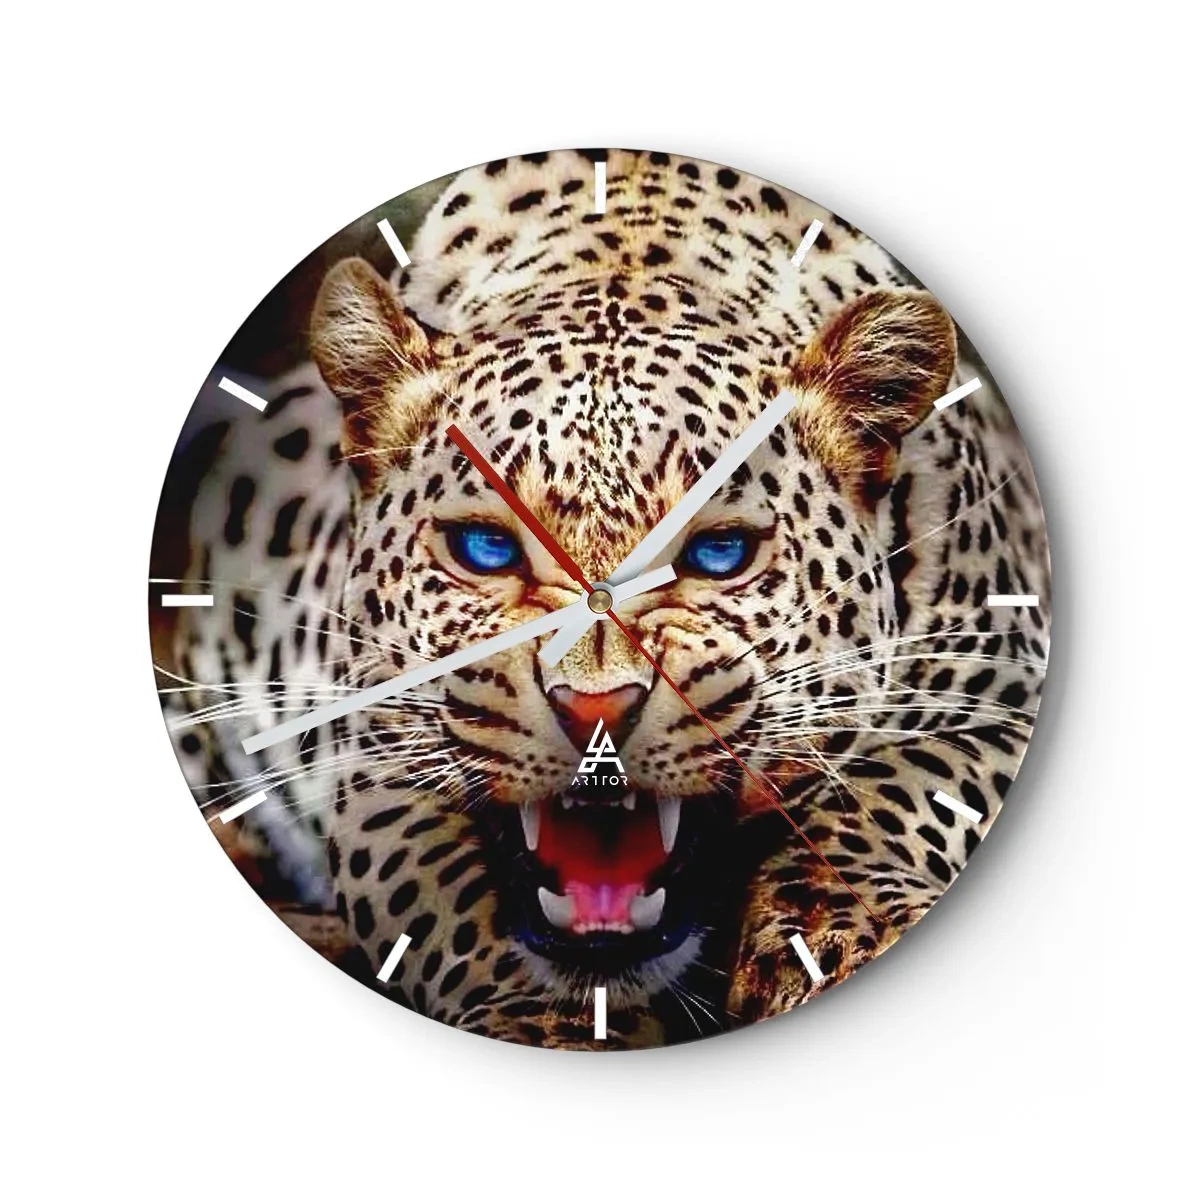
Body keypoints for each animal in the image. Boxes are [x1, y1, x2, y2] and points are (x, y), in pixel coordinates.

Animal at [156, 149, 1051, 1049]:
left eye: (719, 553)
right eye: (486, 548)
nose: (595, 711)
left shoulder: (1003, 690)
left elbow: (881, 799)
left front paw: (845, 930)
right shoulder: (375, 762)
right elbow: (457, 909)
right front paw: (547, 1022)